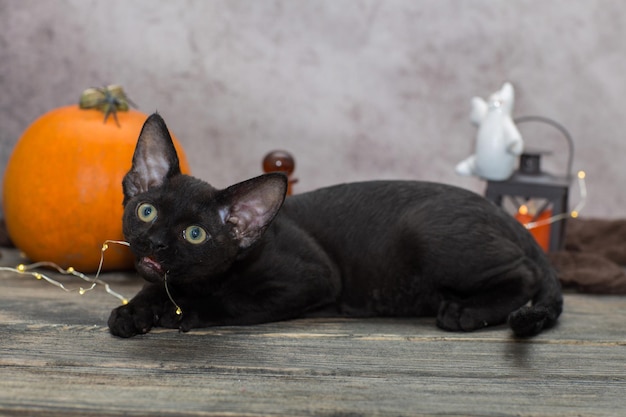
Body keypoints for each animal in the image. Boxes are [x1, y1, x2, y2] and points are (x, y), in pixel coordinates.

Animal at [107, 114, 560, 338]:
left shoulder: (314, 279)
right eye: (147, 212)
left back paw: (465, 312)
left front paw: (185, 312)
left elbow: (234, 302)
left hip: (428, 235)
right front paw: (134, 311)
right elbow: (155, 286)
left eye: (195, 234)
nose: (155, 242)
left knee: (525, 273)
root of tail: (504, 214)